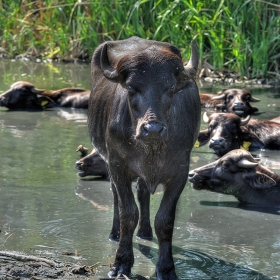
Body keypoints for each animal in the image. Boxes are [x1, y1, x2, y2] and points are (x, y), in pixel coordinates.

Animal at [87, 36, 201, 278]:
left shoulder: (180, 172)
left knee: (142, 192)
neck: (152, 148)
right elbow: (128, 213)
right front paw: (121, 263)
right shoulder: (118, 166)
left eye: (170, 87)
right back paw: (114, 233)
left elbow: (165, 221)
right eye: (131, 87)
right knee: (116, 196)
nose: (152, 129)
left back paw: (145, 232)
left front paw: (166, 268)